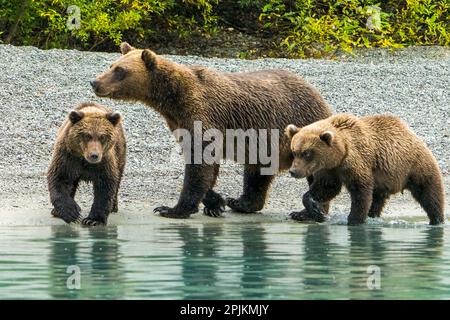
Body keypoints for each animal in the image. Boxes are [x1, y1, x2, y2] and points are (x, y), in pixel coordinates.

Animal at [91, 42, 332, 218]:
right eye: (112, 65)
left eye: (120, 70)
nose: (95, 82)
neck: (173, 100)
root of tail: (317, 93)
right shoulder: (182, 123)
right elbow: (207, 165)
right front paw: (216, 202)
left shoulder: (204, 115)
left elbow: (199, 164)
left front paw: (171, 209)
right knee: (257, 172)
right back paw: (242, 202)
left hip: (303, 126)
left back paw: (310, 211)